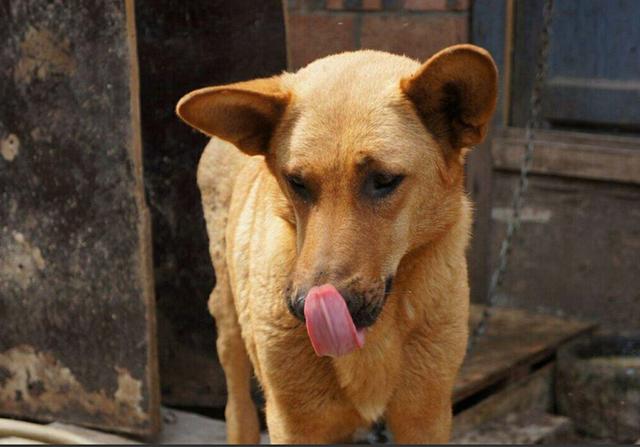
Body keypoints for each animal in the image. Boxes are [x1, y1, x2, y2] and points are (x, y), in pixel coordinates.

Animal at [176, 43, 500, 442]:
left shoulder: (426, 417)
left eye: (384, 180)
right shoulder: (294, 424)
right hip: (228, 323)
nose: (305, 308)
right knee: (238, 408)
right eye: (296, 182)